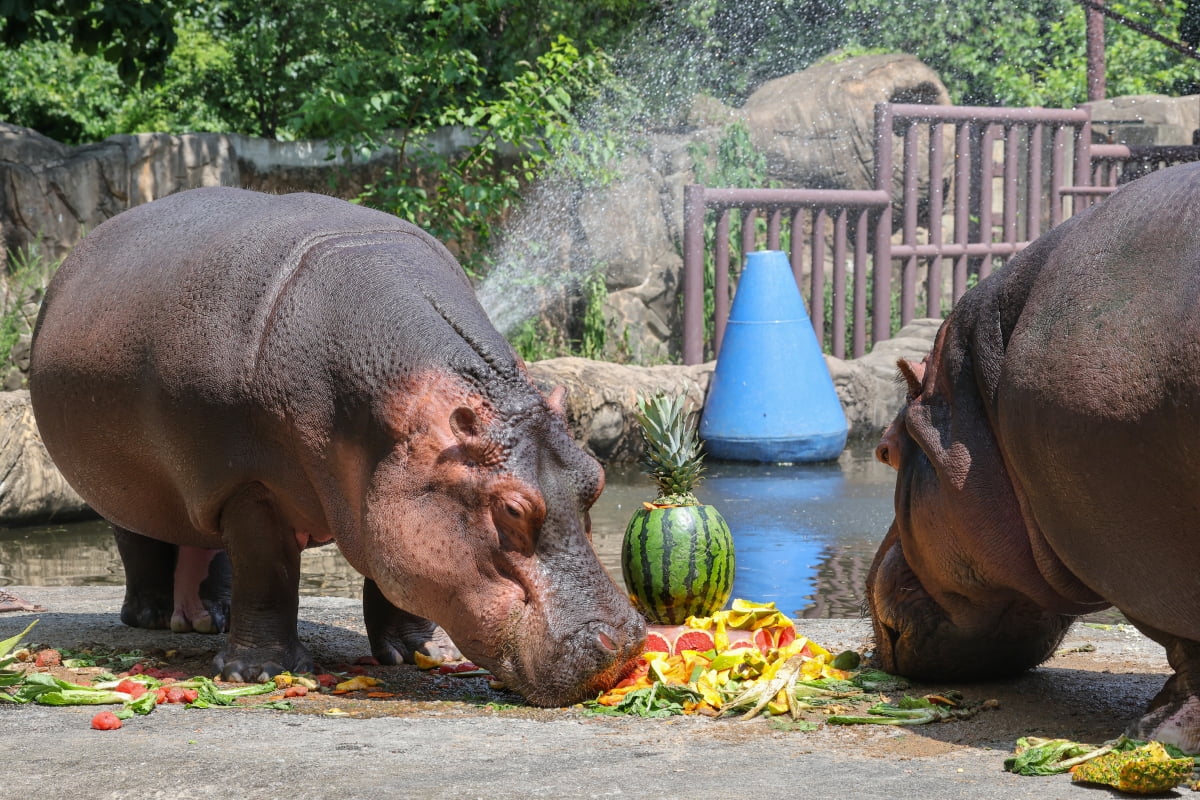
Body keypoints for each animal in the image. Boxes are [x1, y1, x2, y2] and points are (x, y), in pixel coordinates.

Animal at [30, 184, 648, 705]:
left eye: (594, 478)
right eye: (513, 509)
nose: (622, 645)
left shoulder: (382, 491)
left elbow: (393, 575)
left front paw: (421, 652)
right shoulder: (250, 485)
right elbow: (268, 572)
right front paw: (260, 672)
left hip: (202, 491)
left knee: (210, 548)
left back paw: (212, 618)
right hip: (130, 486)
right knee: (142, 540)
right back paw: (155, 617)